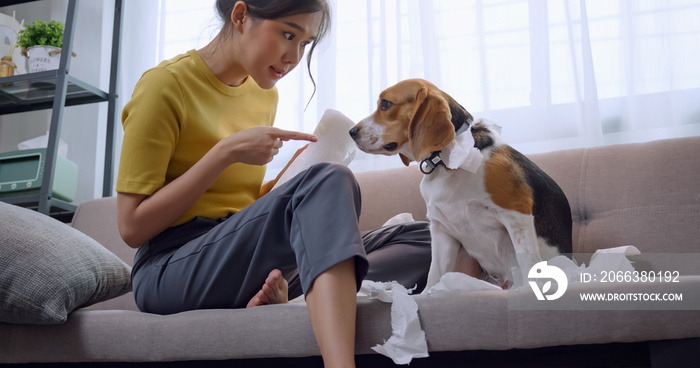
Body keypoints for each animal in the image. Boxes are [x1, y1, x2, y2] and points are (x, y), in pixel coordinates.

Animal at [348, 78, 572, 290]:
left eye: (386, 104)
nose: (351, 131)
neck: (445, 161)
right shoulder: (441, 231)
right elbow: (434, 275)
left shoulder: (517, 213)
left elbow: (527, 263)